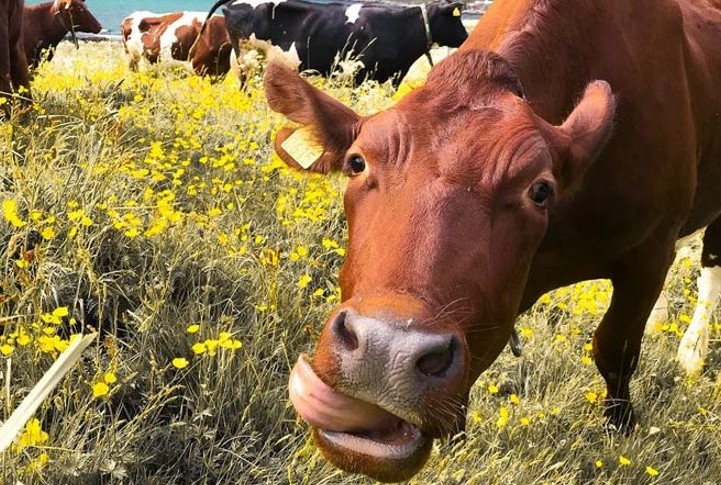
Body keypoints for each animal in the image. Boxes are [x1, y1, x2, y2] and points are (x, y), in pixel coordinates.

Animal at [264, 0, 721, 481]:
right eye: (356, 162)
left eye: (540, 190)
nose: (386, 351)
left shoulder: (649, 254)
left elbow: (616, 348)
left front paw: (622, 428)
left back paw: (692, 352)